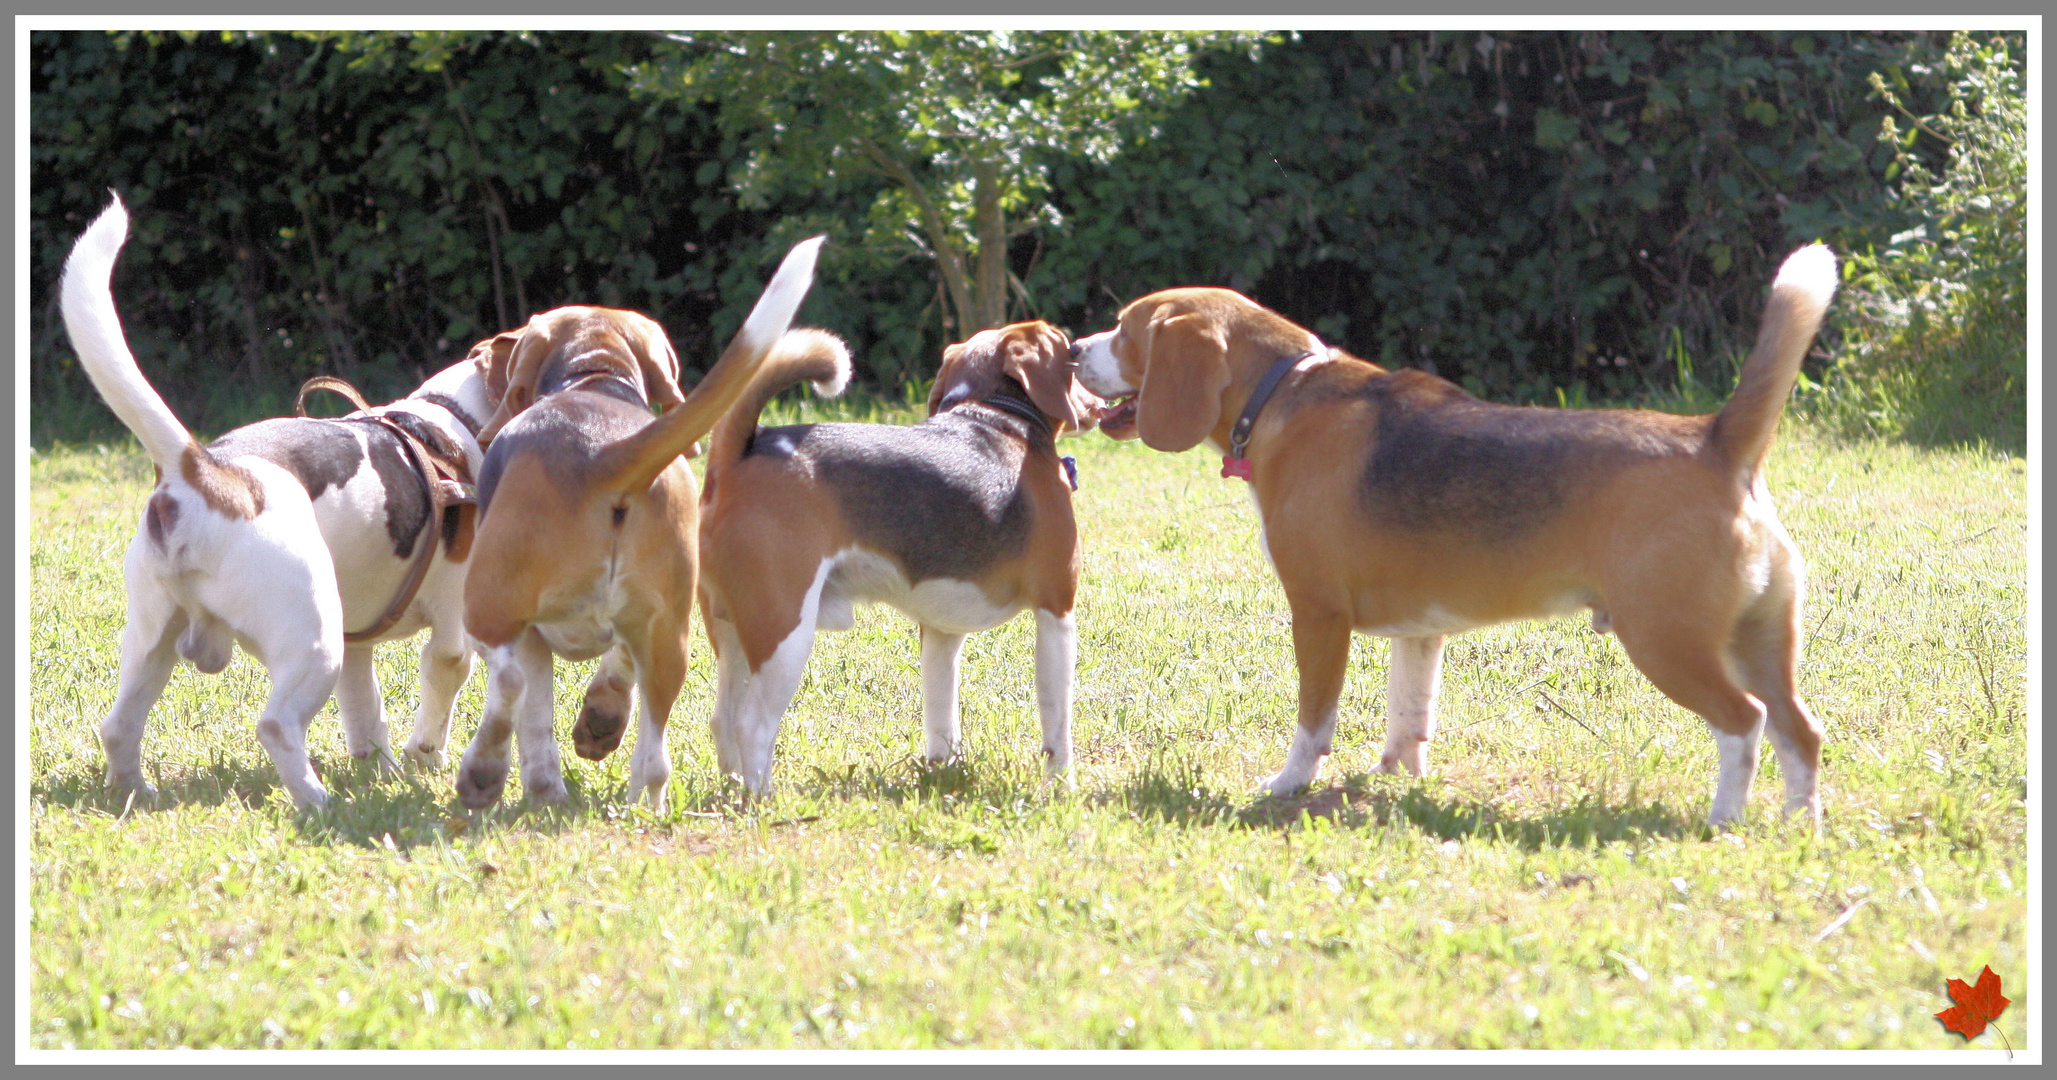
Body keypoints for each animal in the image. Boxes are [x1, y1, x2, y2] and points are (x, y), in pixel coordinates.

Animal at [56, 195, 506, 806]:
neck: (448, 419)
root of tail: (203, 469)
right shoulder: (449, 633)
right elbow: (442, 685)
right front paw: (423, 760)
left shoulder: (357, 645)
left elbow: (366, 714)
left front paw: (380, 770)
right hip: (313, 640)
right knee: (274, 725)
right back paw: (319, 803)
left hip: (154, 639)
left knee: (118, 726)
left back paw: (136, 793)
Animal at [454, 237, 822, 806]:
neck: (595, 380)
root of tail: (605, 453)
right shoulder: (641, 627)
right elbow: (615, 673)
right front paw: (600, 719)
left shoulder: (534, 636)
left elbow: (534, 721)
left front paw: (541, 789)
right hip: (673, 634)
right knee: (654, 756)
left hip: (487, 603)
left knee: (508, 683)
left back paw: (481, 773)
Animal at [699, 320, 1102, 789]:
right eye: (1071, 355)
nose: (1096, 401)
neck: (998, 416)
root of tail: (745, 449)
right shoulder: (1056, 610)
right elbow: (1057, 719)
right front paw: (1062, 786)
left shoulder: (941, 630)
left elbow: (941, 713)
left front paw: (943, 773)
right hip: (785, 631)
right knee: (753, 727)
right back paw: (764, 798)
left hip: (732, 631)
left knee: (723, 720)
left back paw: (733, 790)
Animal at [1069, 245, 1843, 826]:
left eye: (1127, 329)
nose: (1074, 347)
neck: (1282, 392)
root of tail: (1714, 442)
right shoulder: (1421, 630)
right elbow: (1410, 711)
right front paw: (1397, 776)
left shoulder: (1316, 615)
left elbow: (1314, 718)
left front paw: (1289, 783)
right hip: (1759, 640)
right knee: (1798, 732)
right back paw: (1797, 825)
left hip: (1666, 640)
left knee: (1743, 724)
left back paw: (1724, 819)